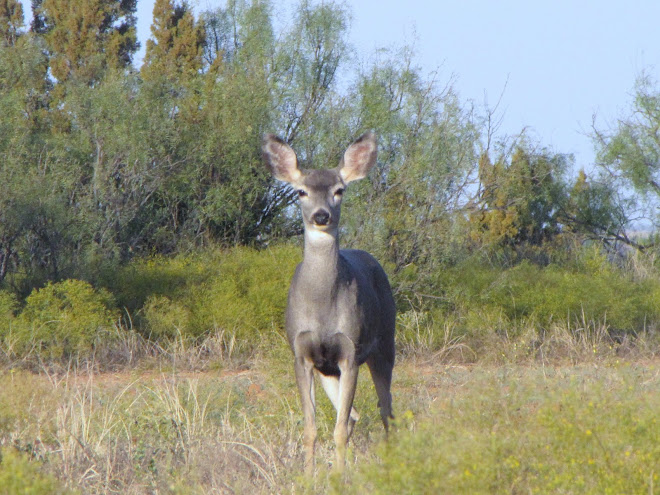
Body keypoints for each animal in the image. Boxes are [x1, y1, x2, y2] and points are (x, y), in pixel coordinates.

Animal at [262, 133, 398, 476]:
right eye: (300, 191)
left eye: (340, 190)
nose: (321, 215)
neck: (322, 306)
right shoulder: (303, 355)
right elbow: (312, 427)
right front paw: (309, 477)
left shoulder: (350, 353)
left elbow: (338, 428)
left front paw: (338, 476)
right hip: (328, 371)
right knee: (355, 415)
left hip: (385, 345)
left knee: (386, 409)